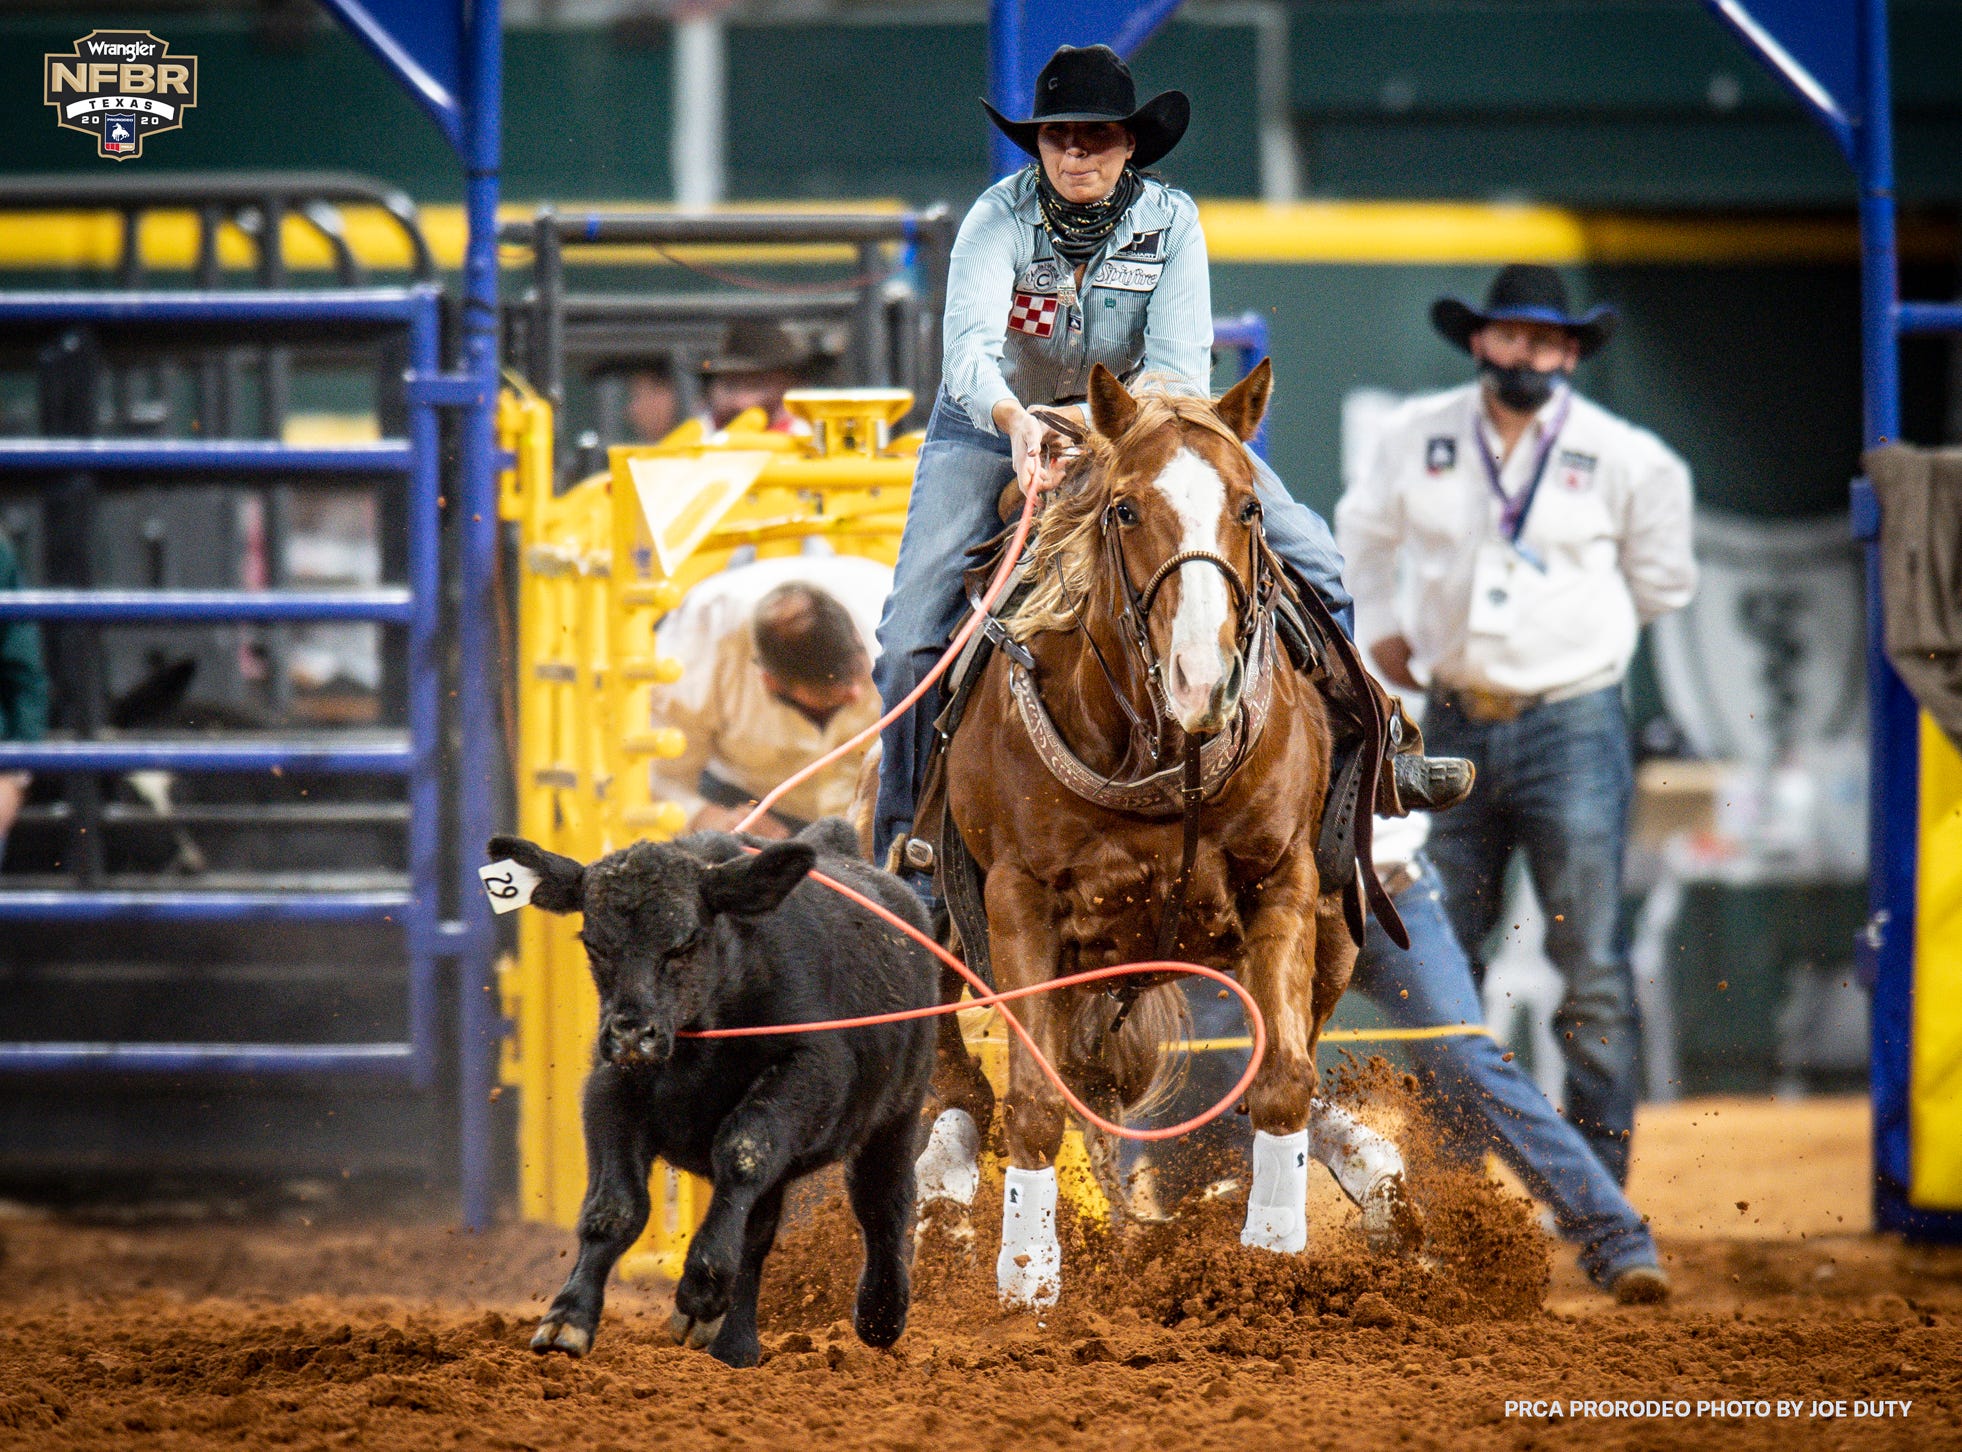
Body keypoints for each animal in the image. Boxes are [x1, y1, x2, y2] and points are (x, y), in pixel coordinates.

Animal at [498, 824, 941, 1365]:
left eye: (686, 941)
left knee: (882, 1203)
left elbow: (742, 1151)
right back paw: (735, 1342)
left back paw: (879, 1312)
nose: (631, 1034)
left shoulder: (809, 1073)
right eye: (595, 944)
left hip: (897, 1112)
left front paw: (700, 1287)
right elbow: (616, 1206)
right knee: (757, 1232)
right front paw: (568, 1317)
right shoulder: (610, 1093)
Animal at [918, 361, 1381, 1302]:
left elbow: (1283, 1079)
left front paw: (1271, 1252)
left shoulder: (1284, 882)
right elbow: (1034, 1103)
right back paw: (944, 1200)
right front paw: (1027, 1281)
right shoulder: (1016, 903)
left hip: (1336, 928)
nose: (1205, 679)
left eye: (1250, 507)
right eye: (1124, 509)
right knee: (965, 1088)